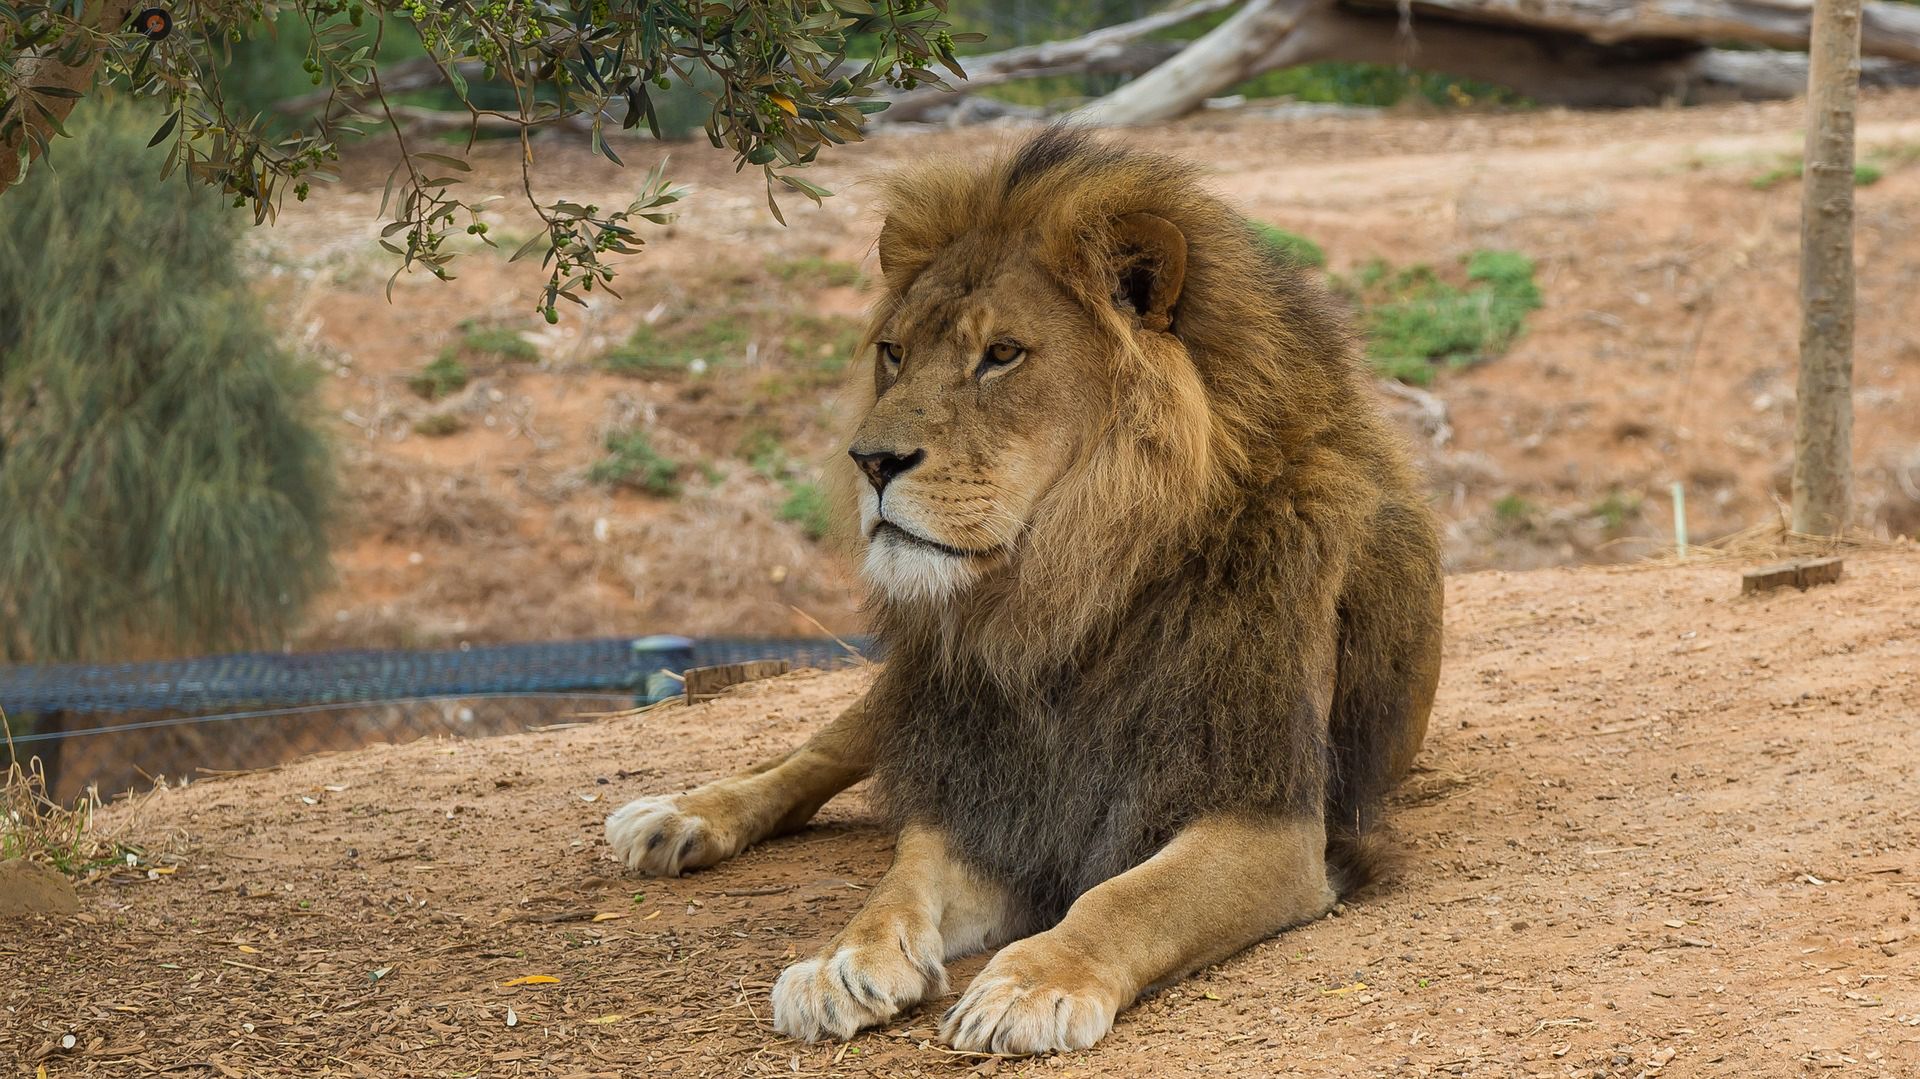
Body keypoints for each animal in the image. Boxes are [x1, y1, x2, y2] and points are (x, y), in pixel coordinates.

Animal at [602, 125, 1443, 1052]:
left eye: (1001, 355)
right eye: (895, 353)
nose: (871, 461)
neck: (1063, 599)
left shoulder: (1271, 817)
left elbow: (1125, 896)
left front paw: (1035, 981)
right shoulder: (986, 790)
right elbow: (899, 878)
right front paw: (840, 961)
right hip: (913, 694)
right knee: (815, 752)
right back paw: (677, 817)